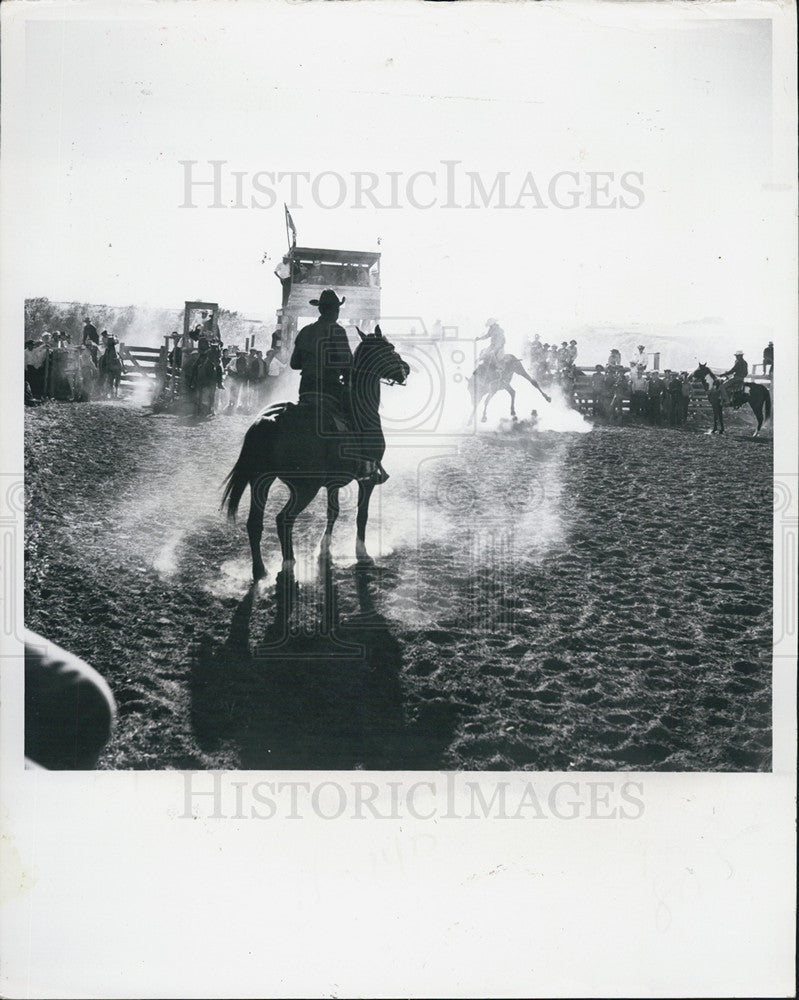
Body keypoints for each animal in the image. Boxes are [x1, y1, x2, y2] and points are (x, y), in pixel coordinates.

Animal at [225, 326, 412, 580]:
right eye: (390, 348)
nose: (406, 368)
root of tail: (271, 420)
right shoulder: (366, 480)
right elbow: (361, 516)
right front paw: (362, 554)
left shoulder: (333, 483)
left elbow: (333, 512)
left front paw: (325, 553)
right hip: (305, 487)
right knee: (284, 519)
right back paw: (288, 565)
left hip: (261, 481)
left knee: (255, 523)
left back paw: (260, 570)